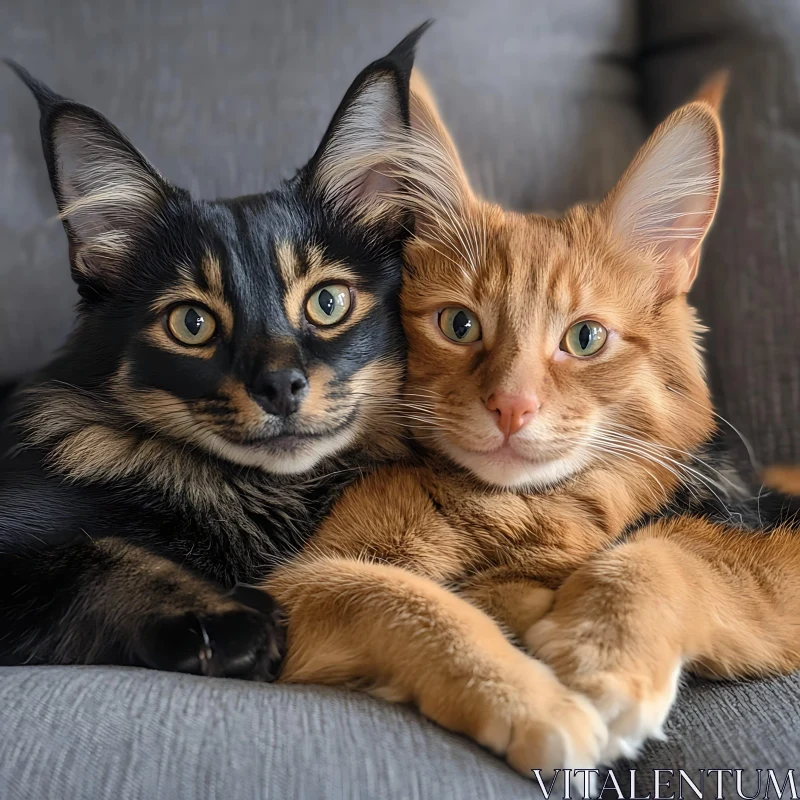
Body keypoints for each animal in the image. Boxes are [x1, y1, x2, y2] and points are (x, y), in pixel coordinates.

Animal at [0, 23, 432, 676]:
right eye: (191, 323)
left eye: (328, 303)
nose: (279, 385)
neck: (261, 495)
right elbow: (95, 555)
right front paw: (217, 617)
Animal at [258, 73, 800, 776]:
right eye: (459, 325)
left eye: (585, 338)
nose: (511, 406)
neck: (513, 511)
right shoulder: (304, 582)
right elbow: (407, 600)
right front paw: (531, 697)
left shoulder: (770, 544)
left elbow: (667, 552)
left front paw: (602, 655)